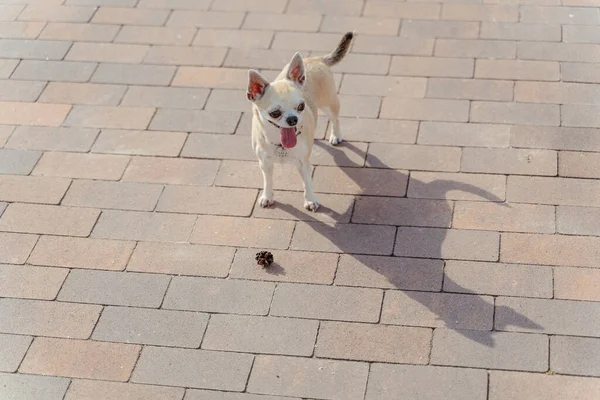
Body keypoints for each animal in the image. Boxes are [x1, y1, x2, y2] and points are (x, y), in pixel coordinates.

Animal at [246, 31, 354, 212]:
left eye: (301, 106)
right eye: (275, 113)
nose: (293, 119)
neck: (280, 144)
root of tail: (317, 59)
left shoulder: (303, 163)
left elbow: (307, 183)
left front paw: (310, 200)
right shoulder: (265, 163)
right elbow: (268, 181)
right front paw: (267, 197)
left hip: (328, 103)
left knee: (335, 118)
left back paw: (335, 135)